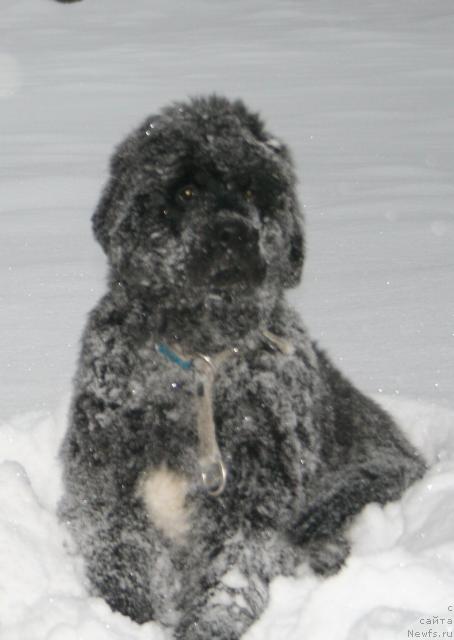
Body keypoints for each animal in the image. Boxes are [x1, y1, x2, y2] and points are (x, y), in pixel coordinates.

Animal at [57, 96, 426, 640]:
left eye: (254, 189)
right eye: (186, 189)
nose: (234, 229)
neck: (197, 359)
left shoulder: (252, 498)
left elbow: (232, 573)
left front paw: (209, 626)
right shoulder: (107, 484)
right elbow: (120, 556)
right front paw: (125, 618)